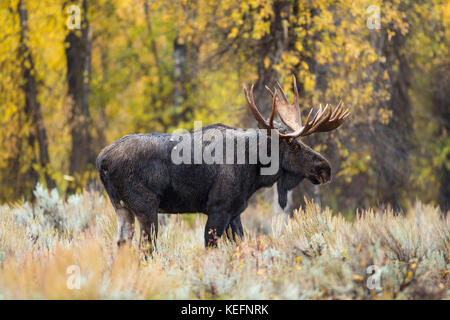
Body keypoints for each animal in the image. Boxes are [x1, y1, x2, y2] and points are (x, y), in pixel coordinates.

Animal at [96, 77, 350, 250]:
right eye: (294, 145)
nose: (325, 169)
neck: (254, 172)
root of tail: (101, 161)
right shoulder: (219, 208)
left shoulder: (235, 212)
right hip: (146, 206)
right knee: (146, 249)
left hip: (122, 208)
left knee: (122, 246)